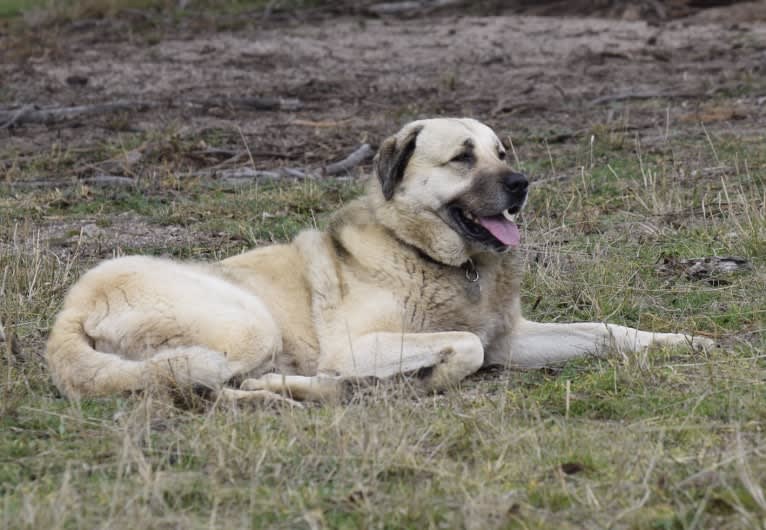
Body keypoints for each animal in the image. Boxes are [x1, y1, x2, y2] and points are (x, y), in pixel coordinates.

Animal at [43, 117, 712, 402]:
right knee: (214, 385)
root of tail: (70, 314)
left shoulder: (511, 339)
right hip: (246, 325)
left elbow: (604, 331)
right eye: (463, 157)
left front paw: (682, 342)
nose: (523, 184)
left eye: (501, 151)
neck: (446, 262)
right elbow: (462, 347)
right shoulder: (360, 341)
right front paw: (434, 375)